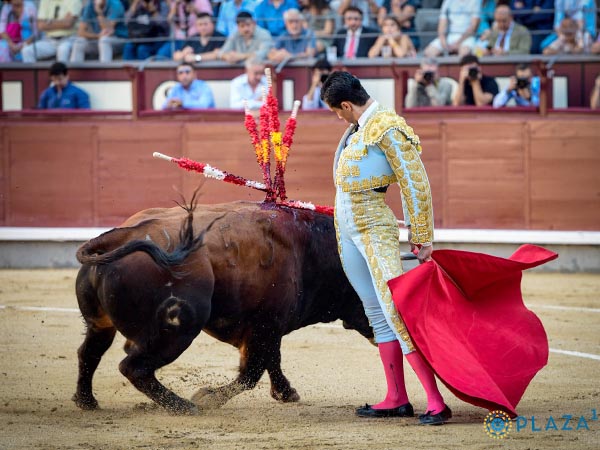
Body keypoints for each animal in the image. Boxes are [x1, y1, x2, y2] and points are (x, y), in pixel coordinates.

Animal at [74, 200, 376, 414]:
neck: (311, 247)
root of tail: (121, 236)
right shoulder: (266, 325)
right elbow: (252, 372)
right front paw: (207, 397)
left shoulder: (268, 328)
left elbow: (270, 362)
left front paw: (286, 393)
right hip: (177, 331)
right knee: (133, 367)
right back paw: (184, 406)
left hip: (100, 323)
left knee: (90, 352)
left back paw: (86, 401)